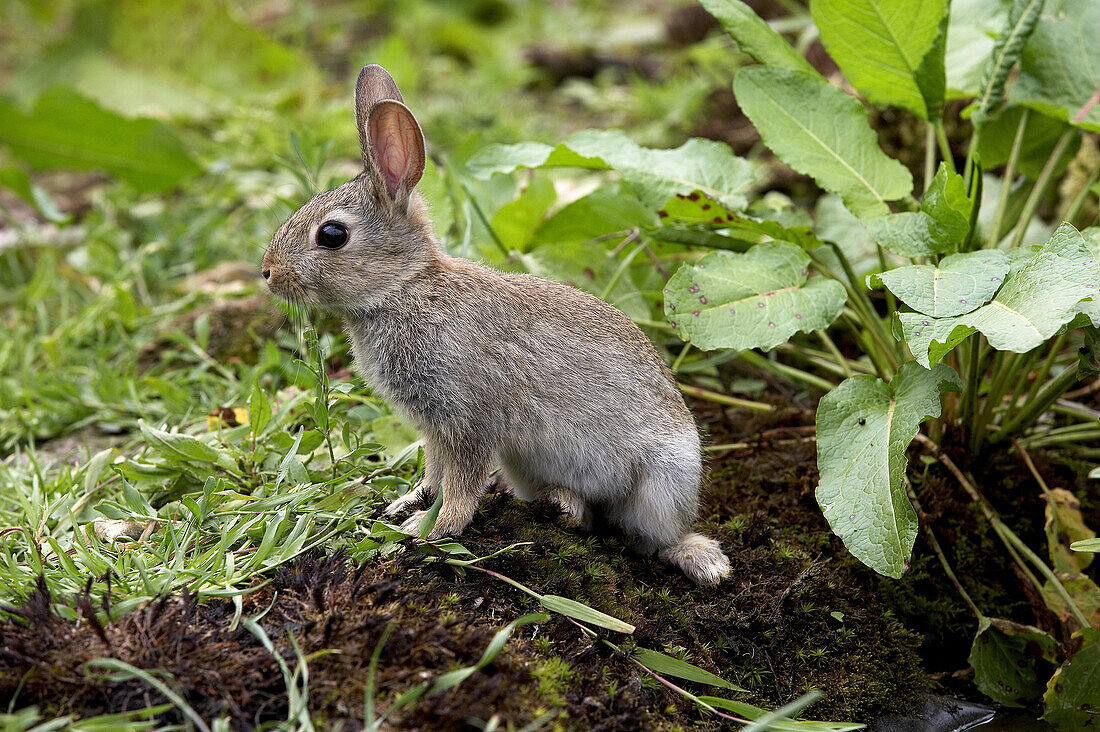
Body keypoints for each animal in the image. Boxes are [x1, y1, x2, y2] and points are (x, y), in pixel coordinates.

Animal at [261, 65, 734, 585]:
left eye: (332, 234)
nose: (267, 272)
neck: (404, 289)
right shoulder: (435, 428)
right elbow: (435, 472)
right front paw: (409, 503)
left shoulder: (468, 419)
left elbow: (462, 482)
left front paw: (431, 529)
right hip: (525, 464)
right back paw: (562, 505)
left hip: (663, 480)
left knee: (652, 536)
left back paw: (702, 560)